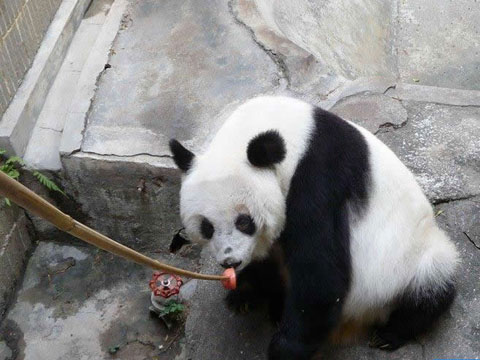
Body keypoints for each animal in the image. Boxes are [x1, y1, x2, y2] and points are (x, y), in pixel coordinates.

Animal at [169, 95, 458, 360]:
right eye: (207, 227)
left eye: (244, 221)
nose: (231, 261)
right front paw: (244, 293)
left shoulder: (319, 177)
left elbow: (320, 274)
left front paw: (284, 350)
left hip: (412, 257)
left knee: (432, 281)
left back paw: (391, 333)